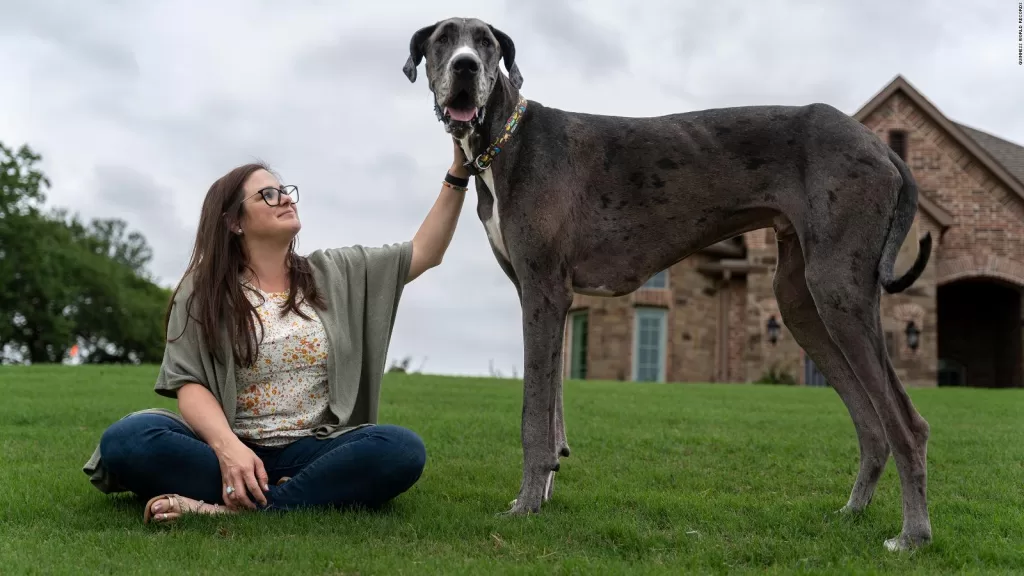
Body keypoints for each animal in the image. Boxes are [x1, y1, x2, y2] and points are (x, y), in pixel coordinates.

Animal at [399, 15, 937, 549]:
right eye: (443, 39)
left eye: (485, 42)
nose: (465, 67)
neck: (507, 139)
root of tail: (882, 147)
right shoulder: (548, 300)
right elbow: (552, 412)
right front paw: (542, 493)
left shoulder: (544, 292)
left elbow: (534, 416)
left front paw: (526, 506)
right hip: (800, 302)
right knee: (871, 423)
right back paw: (852, 512)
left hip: (838, 290)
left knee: (906, 423)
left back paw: (912, 535)